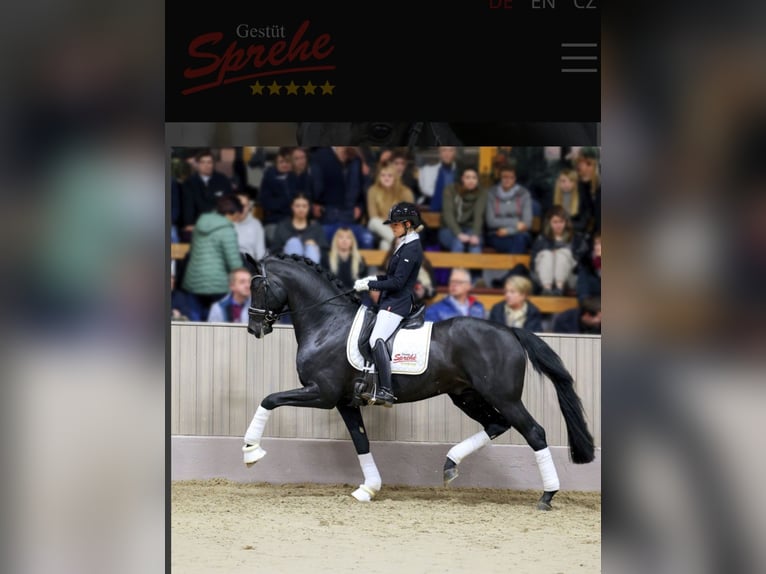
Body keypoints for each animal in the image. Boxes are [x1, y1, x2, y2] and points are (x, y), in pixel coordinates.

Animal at [243, 254, 596, 510]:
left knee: (534, 432)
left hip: (504, 397)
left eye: (257, 286)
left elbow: (269, 399)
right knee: (496, 425)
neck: (327, 323)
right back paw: (450, 465)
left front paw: (251, 451)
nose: (253, 328)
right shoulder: (344, 402)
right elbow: (361, 443)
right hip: (466, 395)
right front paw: (368, 489)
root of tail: (509, 331)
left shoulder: (322, 394)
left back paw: (547, 496)